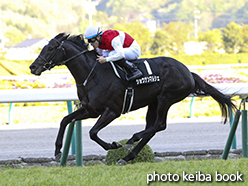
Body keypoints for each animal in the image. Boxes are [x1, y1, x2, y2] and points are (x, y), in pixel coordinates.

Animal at [29, 32, 236, 165]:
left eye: (51, 49)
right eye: (43, 47)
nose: (33, 67)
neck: (92, 74)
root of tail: (188, 72)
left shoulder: (112, 111)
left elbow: (93, 132)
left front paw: (113, 145)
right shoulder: (90, 110)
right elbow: (65, 120)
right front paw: (57, 151)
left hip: (166, 98)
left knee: (160, 125)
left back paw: (131, 140)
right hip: (154, 102)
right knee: (152, 128)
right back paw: (127, 156)